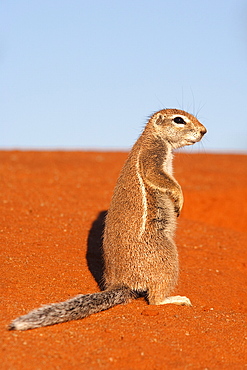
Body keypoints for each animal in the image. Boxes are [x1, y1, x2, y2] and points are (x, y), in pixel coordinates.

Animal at [8, 108, 206, 330]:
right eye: (179, 120)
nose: (204, 131)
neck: (153, 136)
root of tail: (122, 283)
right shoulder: (152, 157)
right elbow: (161, 178)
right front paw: (179, 199)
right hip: (167, 256)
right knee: (154, 299)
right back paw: (174, 299)